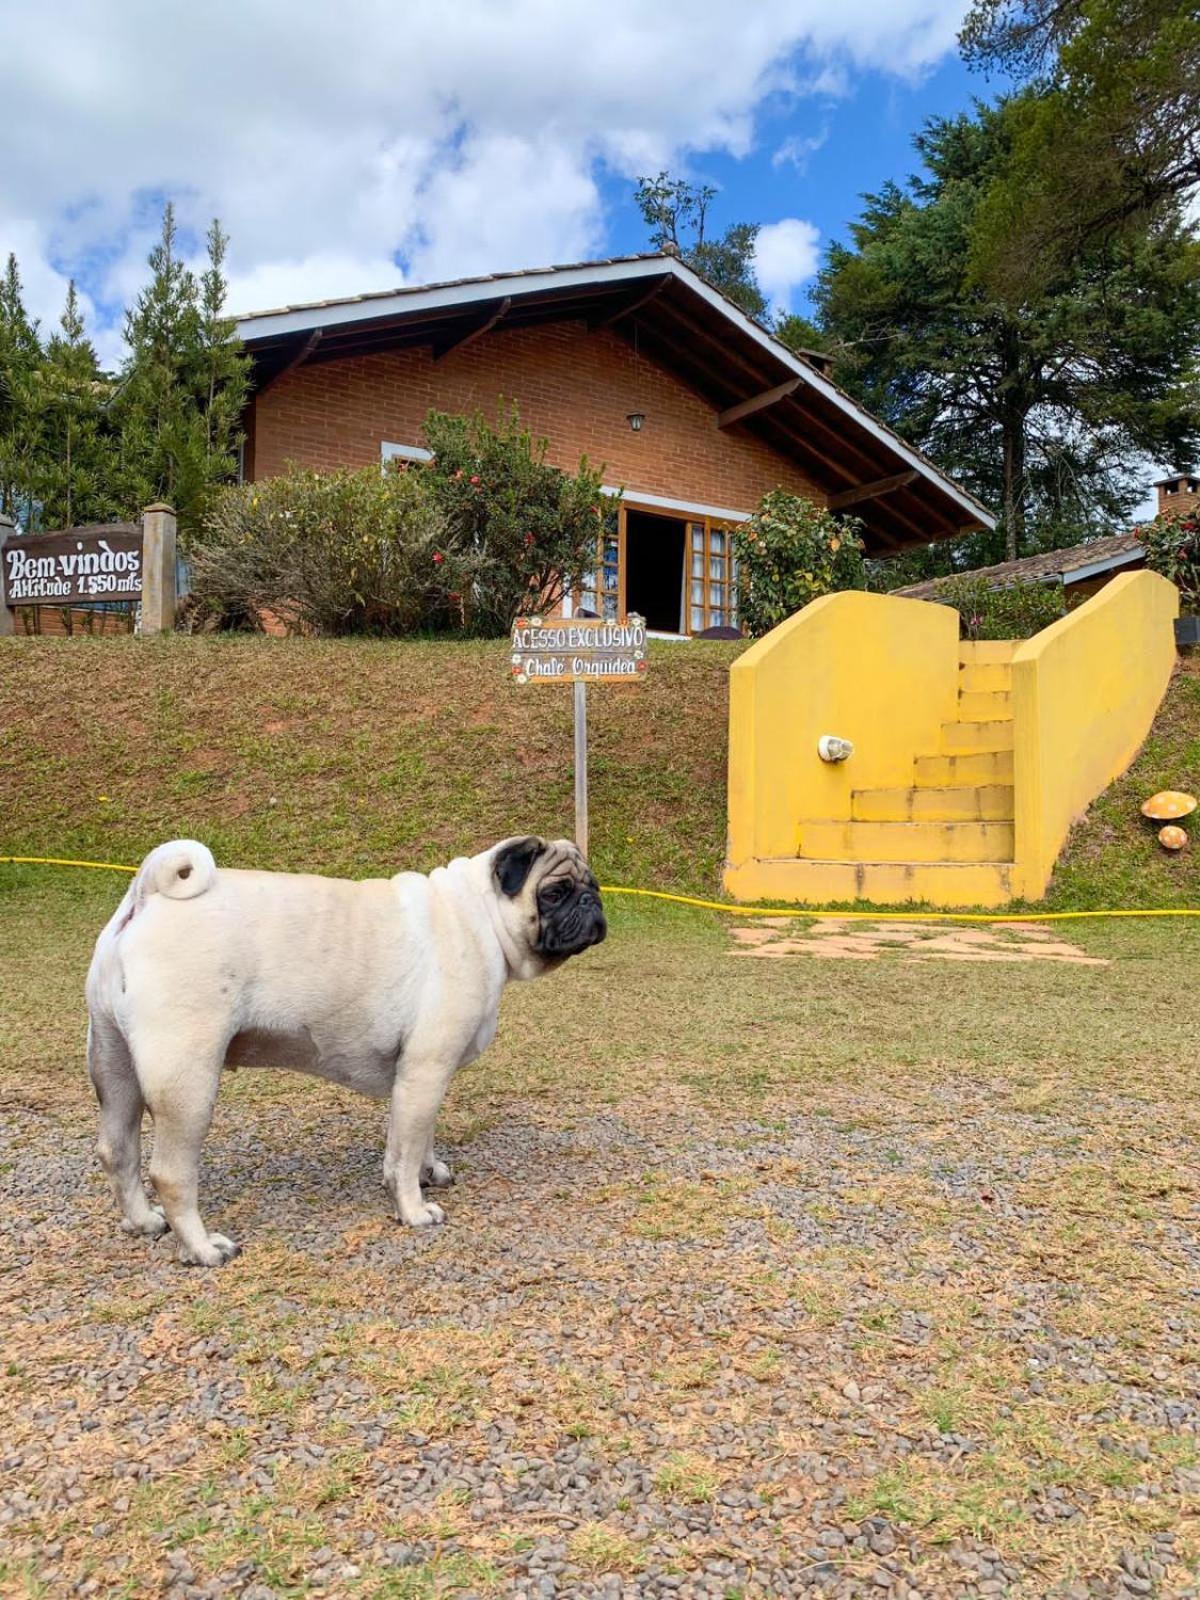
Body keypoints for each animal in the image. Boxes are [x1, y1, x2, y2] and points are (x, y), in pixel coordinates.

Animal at [85, 838, 604, 1260]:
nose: (592, 902)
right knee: (171, 1173)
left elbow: (417, 1138)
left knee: (118, 1151)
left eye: (594, 885)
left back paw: (143, 1221)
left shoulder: (422, 1078)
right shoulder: (425, 1070)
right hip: (187, 1081)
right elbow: (404, 1152)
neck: (478, 917)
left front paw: (426, 1172)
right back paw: (202, 1248)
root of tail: (146, 897)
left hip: (115, 1067)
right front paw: (413, 1211)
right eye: (554, 893)